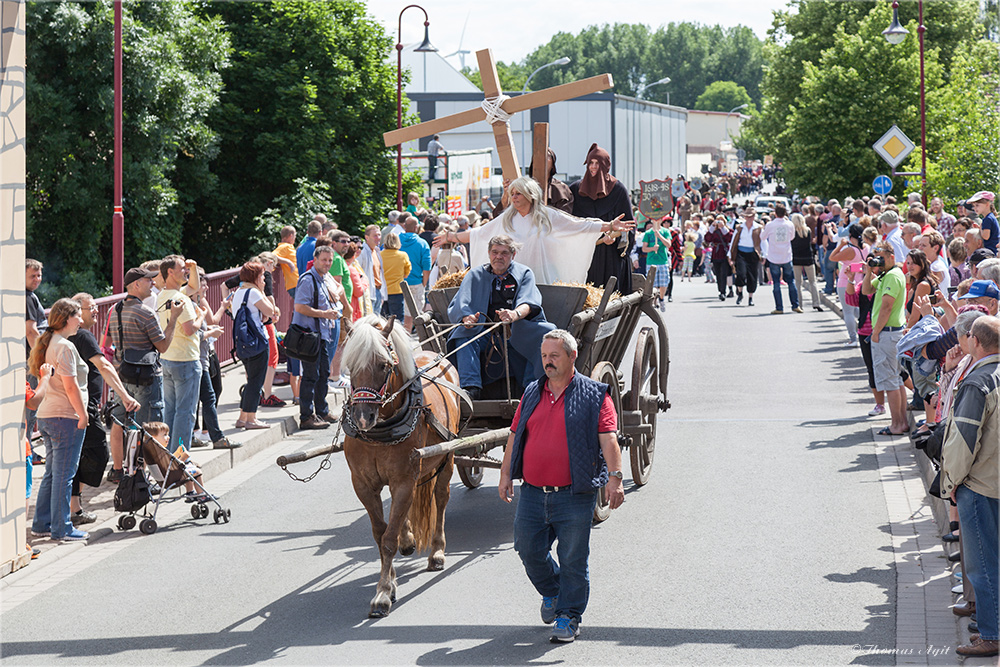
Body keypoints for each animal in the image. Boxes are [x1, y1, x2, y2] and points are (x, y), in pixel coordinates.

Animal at [338, 316, 458, 620]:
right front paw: (389, 582)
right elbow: (380, 534)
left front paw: (382, 593)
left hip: (447, 457)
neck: (380, 432)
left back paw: (437, 551)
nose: (362, 417)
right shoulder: (363, 485)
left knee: (441, 498)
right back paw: (408, 538)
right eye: (350, 366)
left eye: (384, 365)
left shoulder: (404, 479)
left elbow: (388, 539)